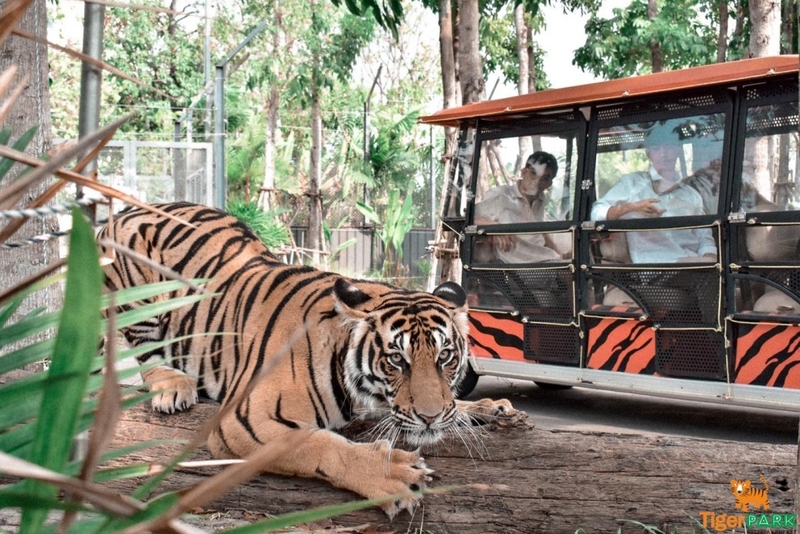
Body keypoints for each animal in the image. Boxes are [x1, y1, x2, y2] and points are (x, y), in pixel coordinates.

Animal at [98, 202, 519, 516]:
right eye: (397, 360)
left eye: (445, 356)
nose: (430, 418)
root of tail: (123, 212)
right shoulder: (245, 419)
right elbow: (320, 444)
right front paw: (392, 474)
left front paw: (487, 407)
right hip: (137, 293)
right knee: (144, 354)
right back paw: (173, 385)